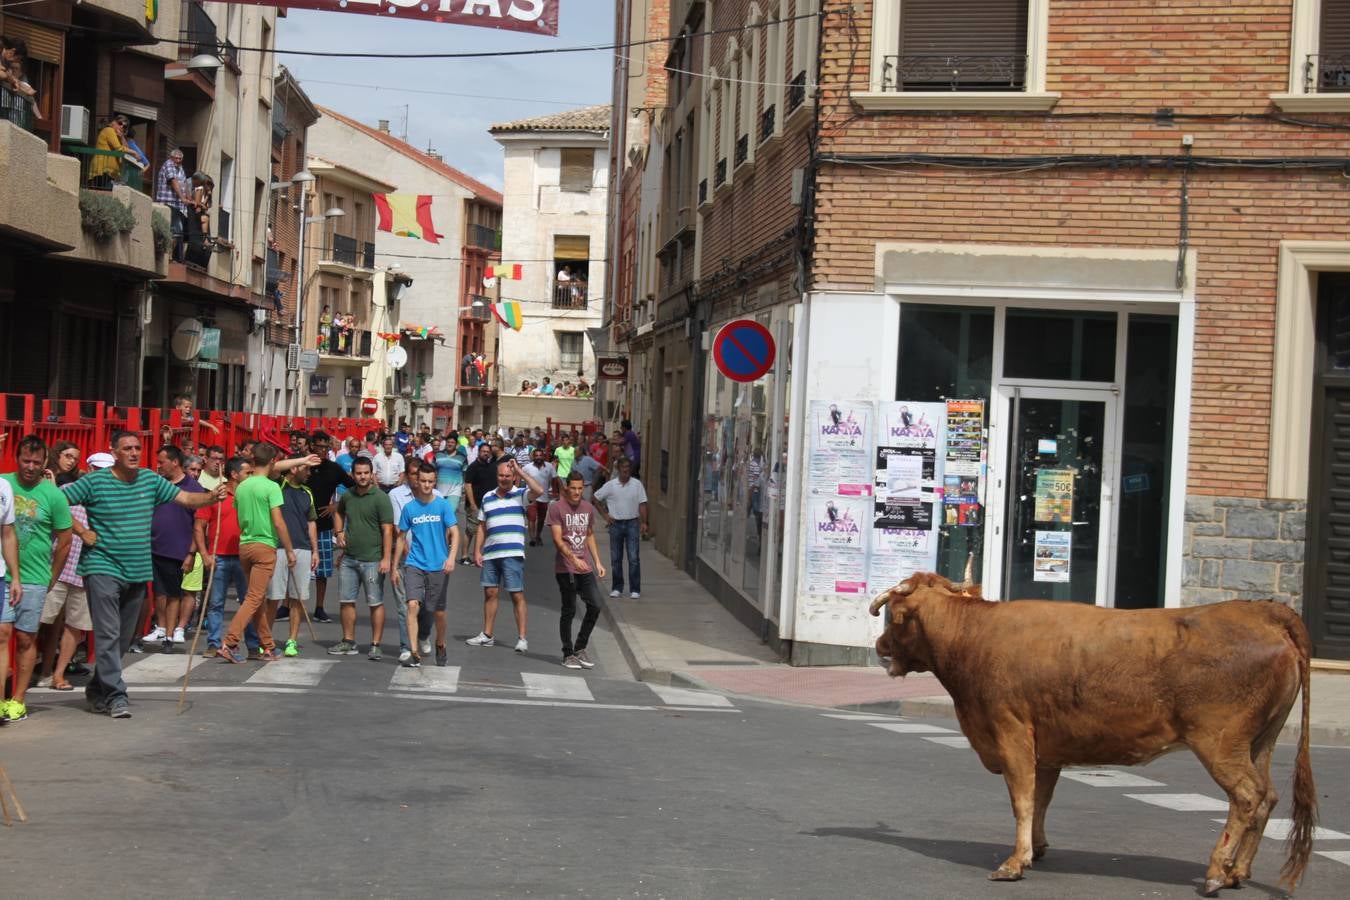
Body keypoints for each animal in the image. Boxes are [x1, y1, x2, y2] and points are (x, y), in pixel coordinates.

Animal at [864, 574, 1317, 895]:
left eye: (896, 618)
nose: (880, 646)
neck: (973, 636)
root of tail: (1261, 613)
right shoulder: (1046, 749)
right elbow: (1041, 799)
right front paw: (1037, 849)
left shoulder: (1011, 732)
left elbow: (1022, 799)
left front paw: (1014, 863)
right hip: (1261, 742)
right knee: (1267, 797)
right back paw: (1237, 871)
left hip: (1220, 742)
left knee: (1246, 796)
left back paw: (1215, 873)